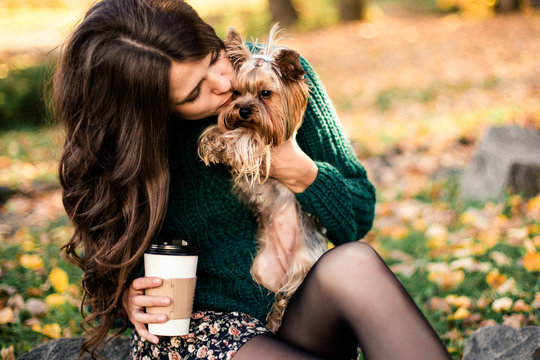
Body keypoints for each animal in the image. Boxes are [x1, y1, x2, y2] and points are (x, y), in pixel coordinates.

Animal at [196, 23, 326, 330]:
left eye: (265, 93)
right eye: (236, 92)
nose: (243, 110)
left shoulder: (269, 143)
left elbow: (250, 138)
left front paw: (225, 142)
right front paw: (214, 138)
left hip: (306, 262)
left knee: (291, 290)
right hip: (263, 267)